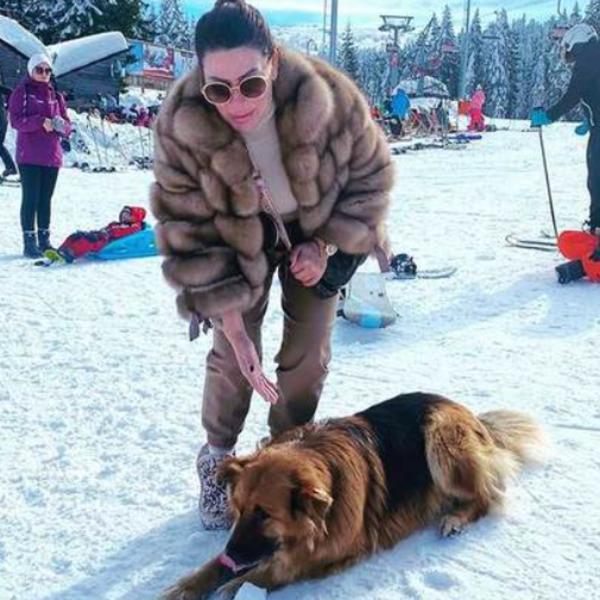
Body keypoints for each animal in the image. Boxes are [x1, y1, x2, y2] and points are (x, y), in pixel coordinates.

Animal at [163, 392, 545, 599]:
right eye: (238, 510)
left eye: (264, 514)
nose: (232, 554)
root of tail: (470, 414)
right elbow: (212, 565)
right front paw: (187, 585)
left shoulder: (330, 552)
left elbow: (268, 573)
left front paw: (236, 585)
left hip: (442, 444)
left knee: (488, 495)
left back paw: (455, 519)